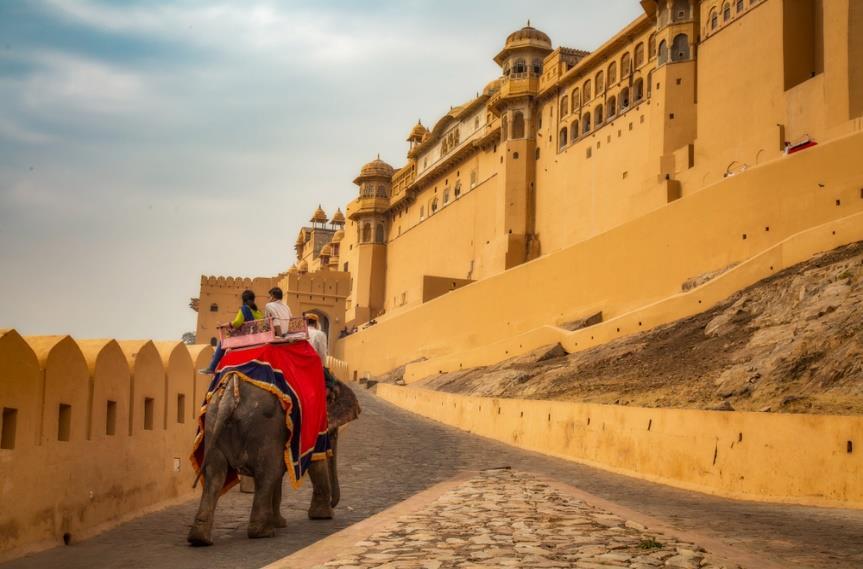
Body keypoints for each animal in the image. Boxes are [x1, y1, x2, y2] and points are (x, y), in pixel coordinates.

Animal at [186, 372, 358, 544]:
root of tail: (231, 390)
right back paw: (263, 532)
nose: (333, 504)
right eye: (333, 433)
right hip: (264, 427)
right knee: (266, 474)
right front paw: (323, 516)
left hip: (213, 422)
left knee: (215, 475)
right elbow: (314, 461)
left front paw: (281, 523)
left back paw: (200, 539)